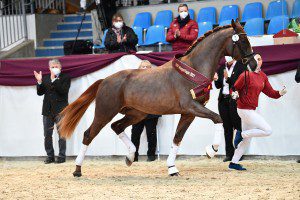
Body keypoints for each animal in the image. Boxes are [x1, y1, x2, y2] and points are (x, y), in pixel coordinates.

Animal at [59, 19, 256, 177]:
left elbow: (177, 138)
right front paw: (212, 150)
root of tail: (105, 80)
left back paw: (130, 156)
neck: (193, 70)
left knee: (117, 126)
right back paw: (77, 170)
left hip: (137, 114)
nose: (253, 64)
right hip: (105, 112)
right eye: (243, 41)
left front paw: (172, 168)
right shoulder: (191, 106)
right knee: (89, 134)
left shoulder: (188, 113)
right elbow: (218, 118)